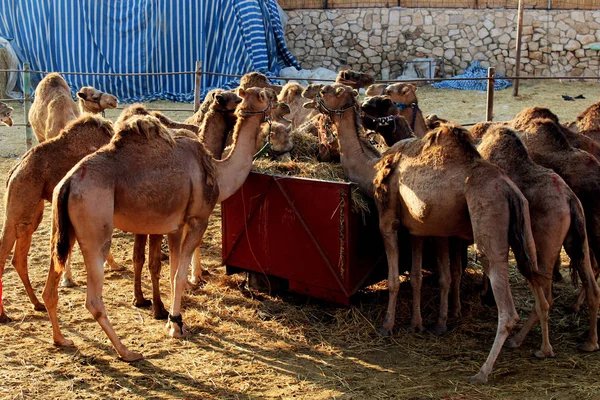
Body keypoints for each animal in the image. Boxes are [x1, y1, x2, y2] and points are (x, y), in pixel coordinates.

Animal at [0, 115, 124, 322]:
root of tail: (15, 170)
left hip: (32, 209)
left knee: (19, 256)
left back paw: (37, 304)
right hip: (20, 202)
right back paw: (4, 314)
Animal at [45, 86, 270, 360]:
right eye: (265, 96)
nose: (282, 106)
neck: (219, 172)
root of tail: (68, 183)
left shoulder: (176, 226)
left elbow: (172, 272)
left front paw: (172, 317)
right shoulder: (198, 220)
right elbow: (179, 275)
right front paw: (176, 326)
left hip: (62, 229)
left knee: (50, 288)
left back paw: (61, 339)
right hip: (95, 229)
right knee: (93, 300)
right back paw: (126, 351)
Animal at [314, 83, 552, 382]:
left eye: (329, 89)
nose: (313, 93)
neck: (372, 168)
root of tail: (510, 191)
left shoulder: (388, 220)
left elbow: (394, 278)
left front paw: (387, 325)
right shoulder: (417, 229)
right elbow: (417, 276)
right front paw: (418, 324)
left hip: (490, 225)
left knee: (507, 307)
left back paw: (482, 371)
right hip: (525, 234)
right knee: (538, 287)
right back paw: (541, 348)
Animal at [476, 126, 596, 352]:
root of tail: (570, 199)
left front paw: (486, 295)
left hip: (544, 246)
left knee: (545, 295)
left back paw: (527, 343)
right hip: (578, 238)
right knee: (591, 284)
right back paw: (590, 342)